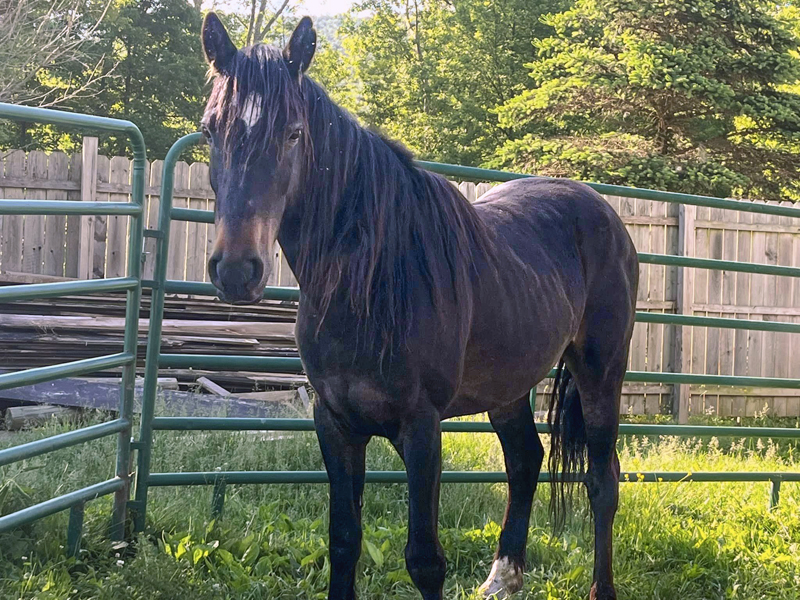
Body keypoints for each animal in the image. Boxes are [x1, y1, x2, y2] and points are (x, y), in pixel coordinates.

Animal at [203, 14, 640, 600]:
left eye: (293, 132)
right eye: (210, 131)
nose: (236, 270)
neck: (370, 285)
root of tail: (604, 212)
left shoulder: (421, 427)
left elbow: (425, 559)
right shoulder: (334, 423)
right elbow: (343, 540)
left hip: (600, 372)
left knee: (602, 480)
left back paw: (600, 587)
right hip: (508, 385)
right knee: (525, 461)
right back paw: (502, 576)